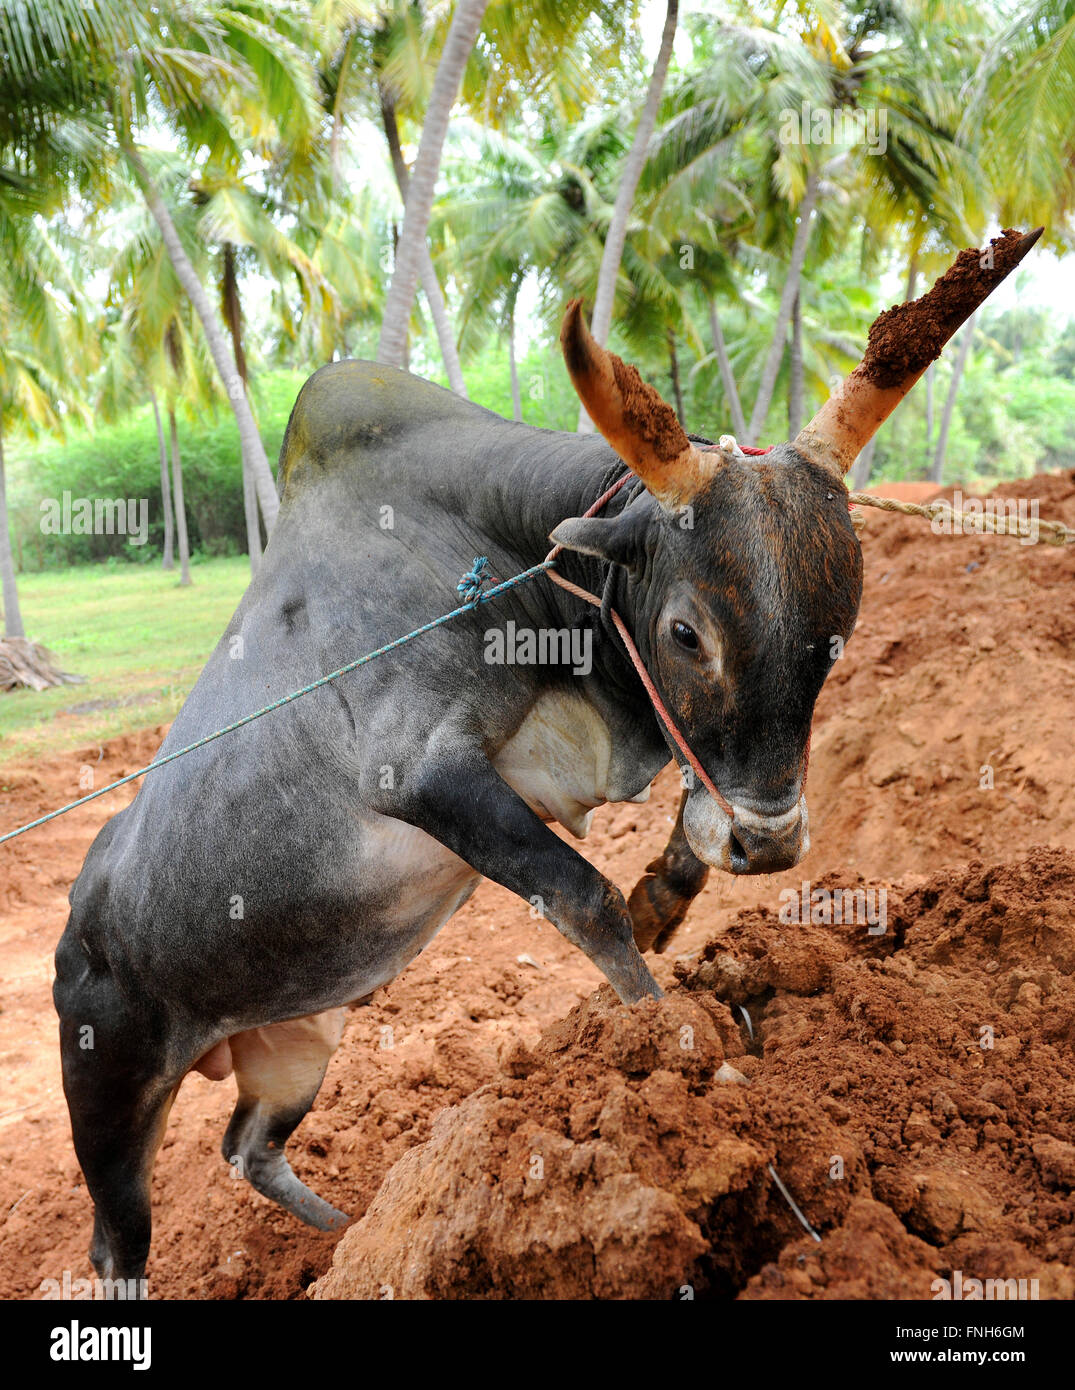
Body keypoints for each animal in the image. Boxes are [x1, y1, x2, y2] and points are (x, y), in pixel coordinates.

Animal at [54, 355, 862, 1278]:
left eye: (839, 630)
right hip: (108, 1098)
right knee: (116, 1241)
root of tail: (77, 921)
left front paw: (668, 896)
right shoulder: (423, 776)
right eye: (685, 633)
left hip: (297, 1045)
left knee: (248, 1149)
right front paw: (687, 1054)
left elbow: (685, 834)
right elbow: (587, 900)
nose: (771, 845)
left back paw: (351, 1237)